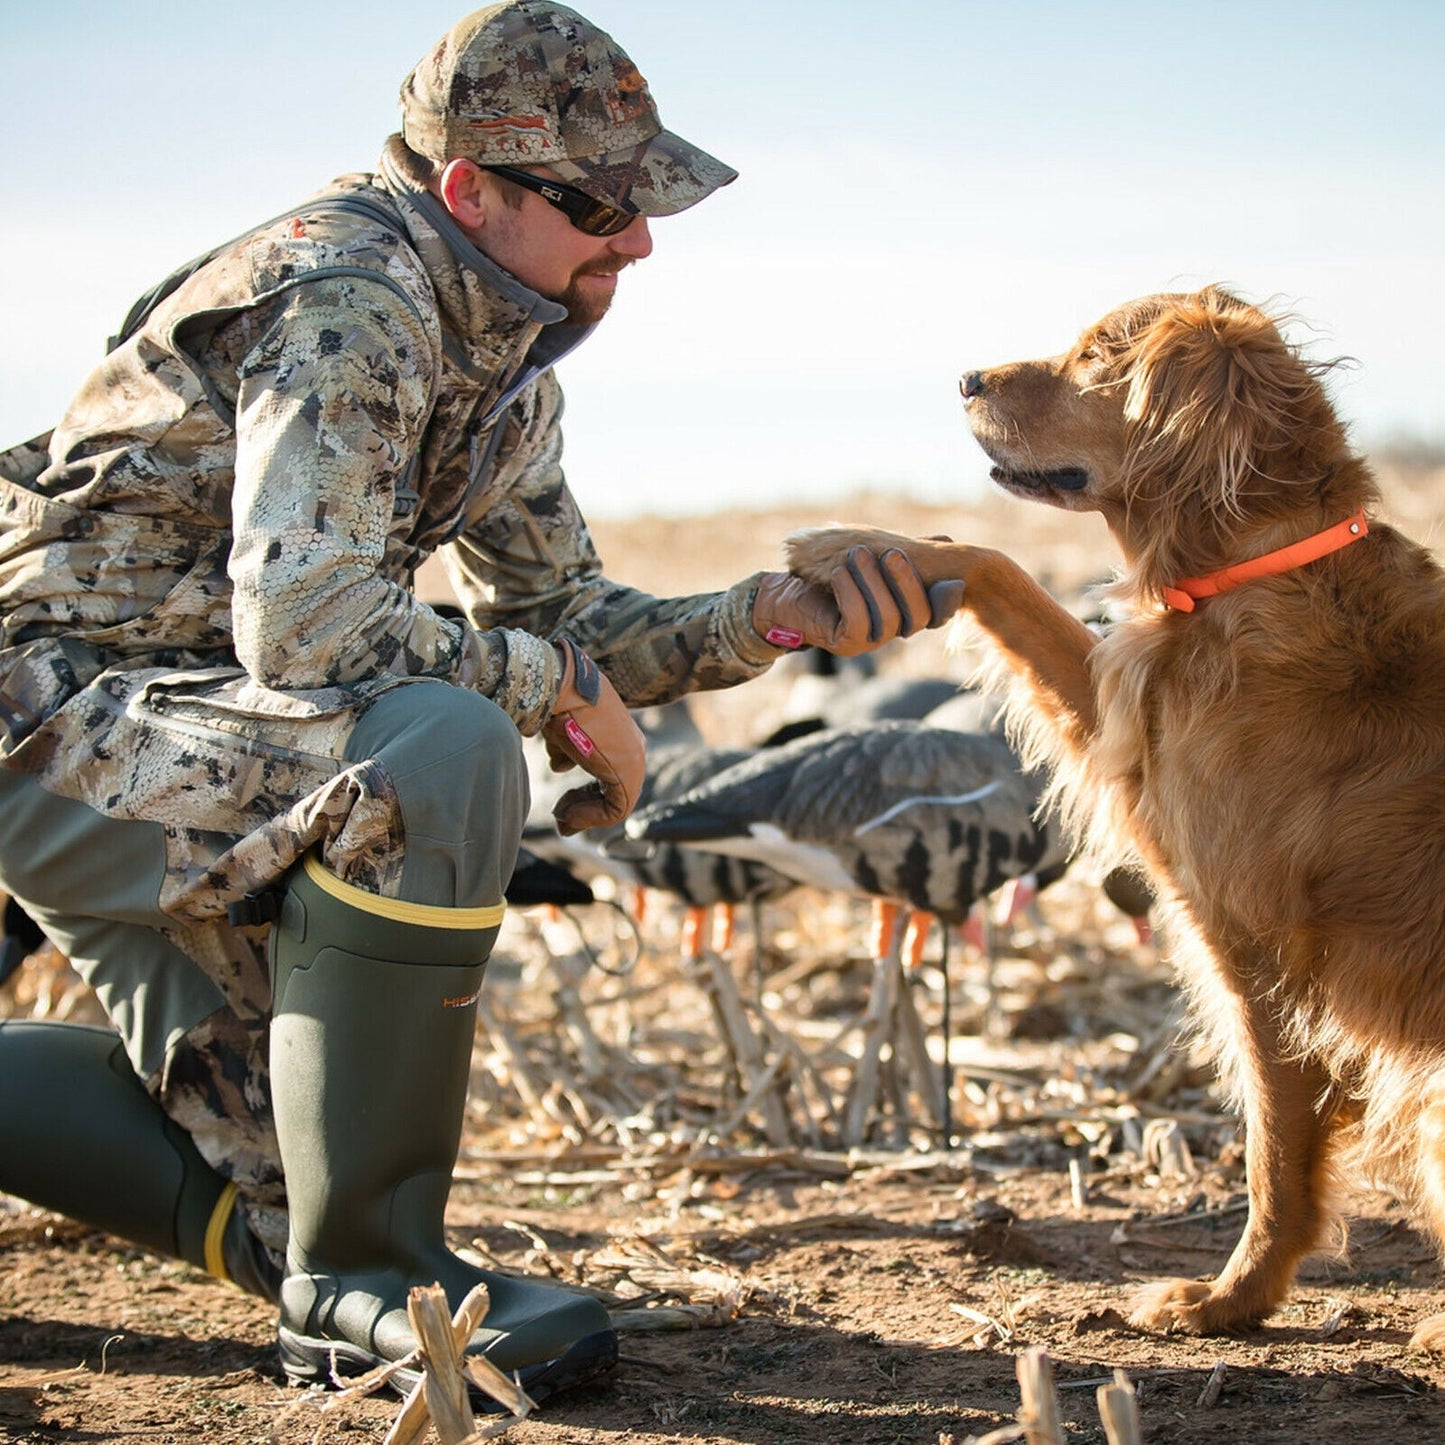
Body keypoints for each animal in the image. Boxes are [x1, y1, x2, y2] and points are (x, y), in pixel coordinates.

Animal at [786, 287, 1445, 1346]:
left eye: (1097, 355)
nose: (964, 376)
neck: (1254, 567)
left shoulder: (1254, 952)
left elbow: (1272, 1147)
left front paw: (1230, 1299)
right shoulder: (1126, 725)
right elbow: (997, 566)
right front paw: (861, 546)